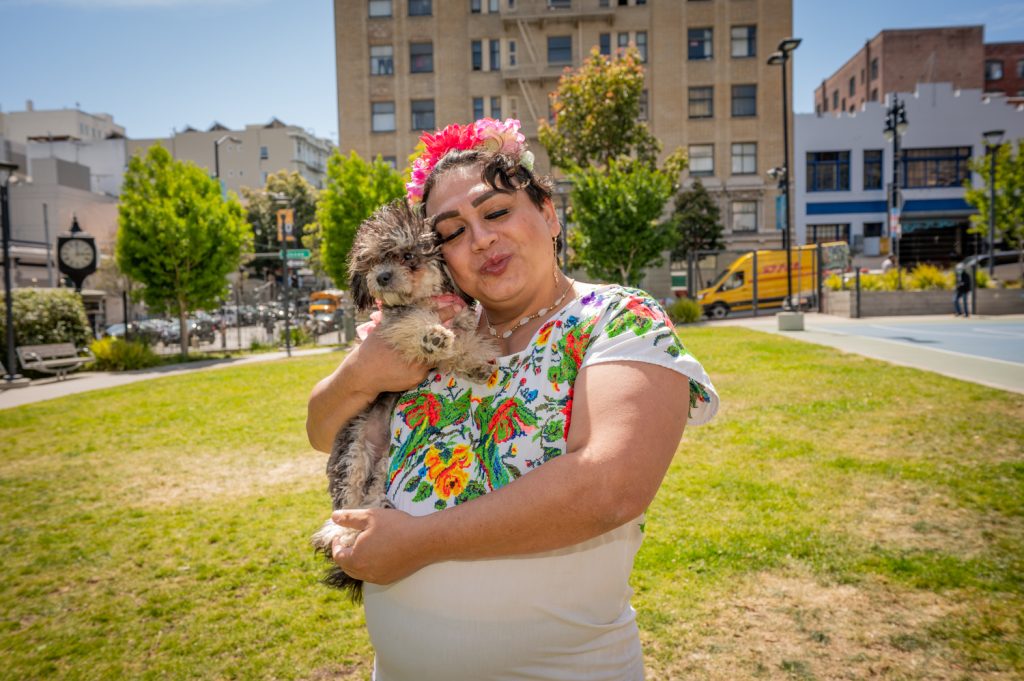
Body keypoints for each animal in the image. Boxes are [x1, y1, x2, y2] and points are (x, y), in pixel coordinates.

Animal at [309, 197, 493, 602]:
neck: (426, 297)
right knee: (342, 508)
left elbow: (464, 342)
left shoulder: (460, 318)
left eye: (408, 256)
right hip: (353, 453)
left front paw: (474, 360)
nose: (381, 277)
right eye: (372, 261)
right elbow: (414, 324)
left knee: (370, 500)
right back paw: (340, 534)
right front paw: (432, 336)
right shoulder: (392, 324)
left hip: (381, 471)